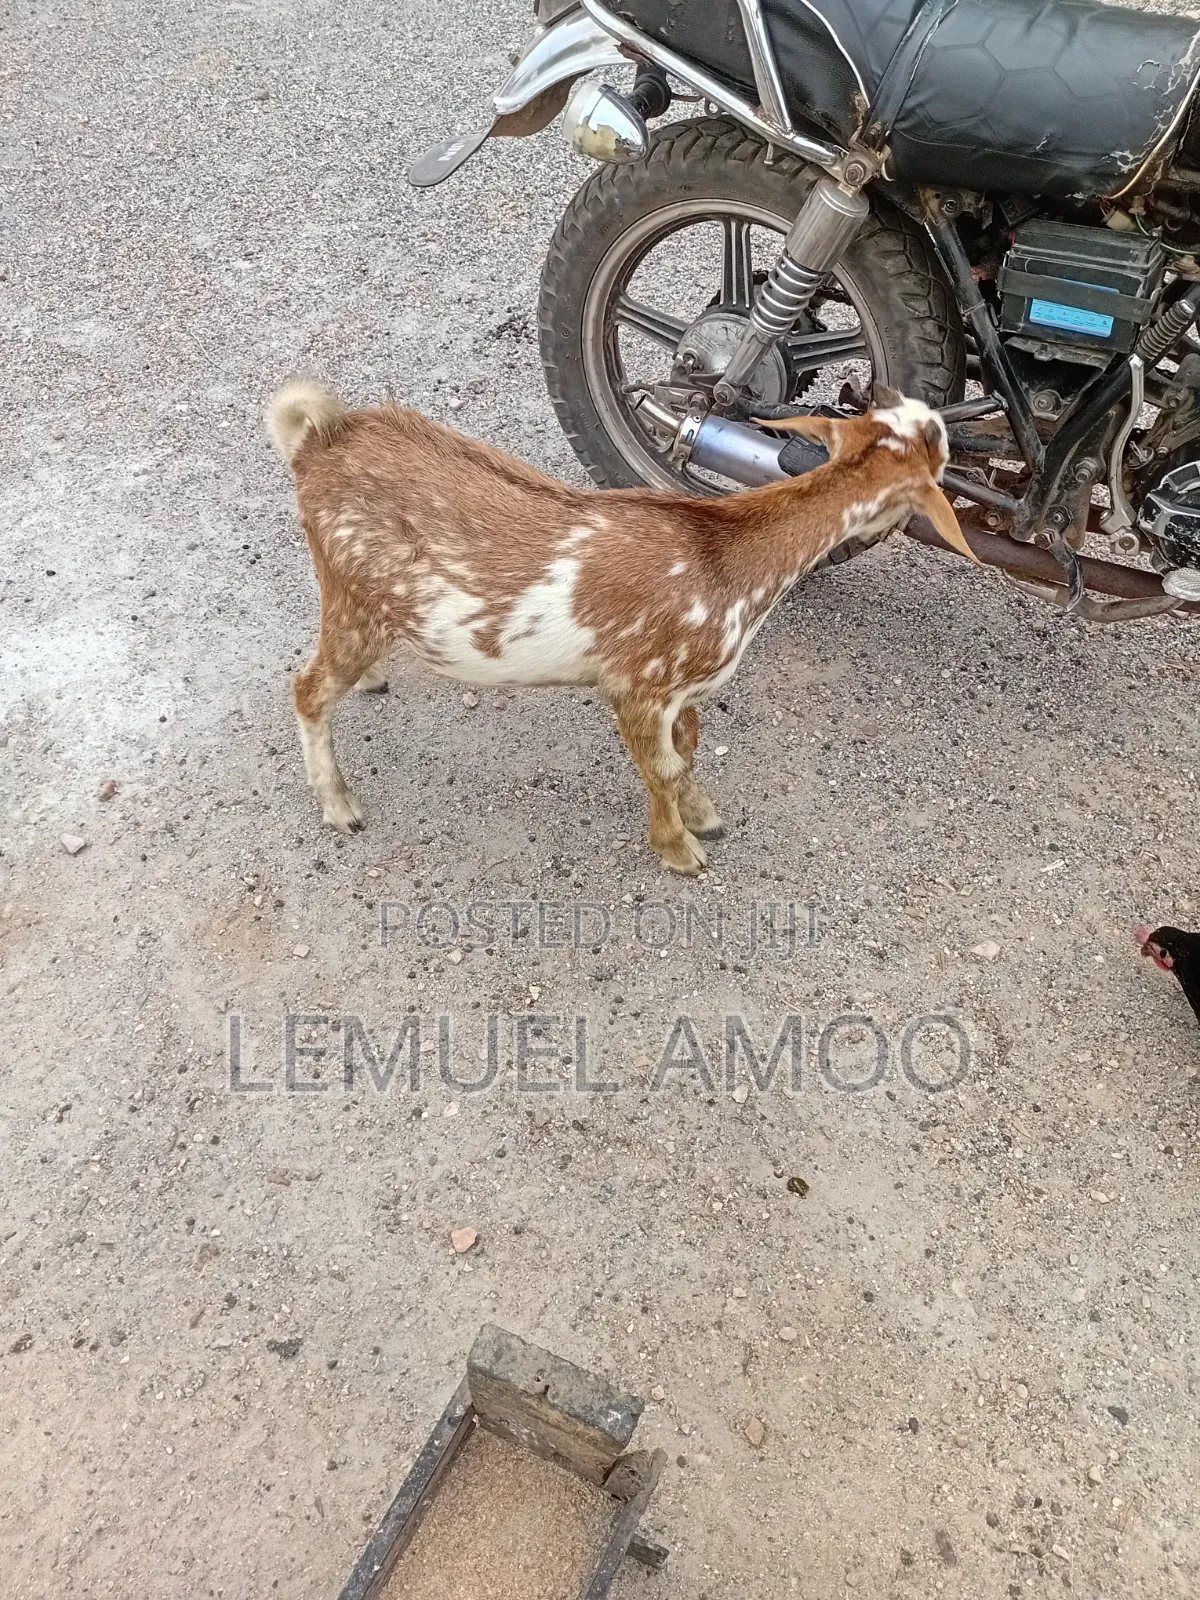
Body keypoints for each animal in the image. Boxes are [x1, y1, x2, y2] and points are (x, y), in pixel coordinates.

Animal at [266, 381, 976, 874]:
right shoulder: (638, 686)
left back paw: (372, 681)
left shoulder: (684, 691)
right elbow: (659, 767)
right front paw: (680, 850)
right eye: (939, 445)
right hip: (354, 591)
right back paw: (339, 806)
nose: (946, 420)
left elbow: (686, 751)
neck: (728, 562)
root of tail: (315, 444)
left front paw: (703, 814)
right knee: (307, 687)